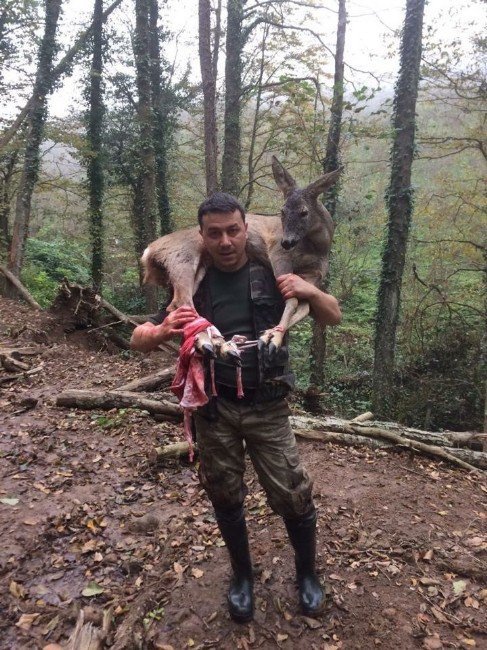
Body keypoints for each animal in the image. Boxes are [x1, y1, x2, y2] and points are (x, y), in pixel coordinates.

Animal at [141, 158, 340, 360]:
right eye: (282, 211)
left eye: (304, 212)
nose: (287, 241)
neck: (316, 248)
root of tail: (149, 251)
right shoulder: (278, 255)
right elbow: (292, 302)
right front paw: (273, 339)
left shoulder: (314, 274)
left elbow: (305, 307)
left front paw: (268, 334)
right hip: (183, 257)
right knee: (184, 302)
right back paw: (213, 343)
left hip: (199, 266)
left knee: (175, 305)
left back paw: (219, 343)